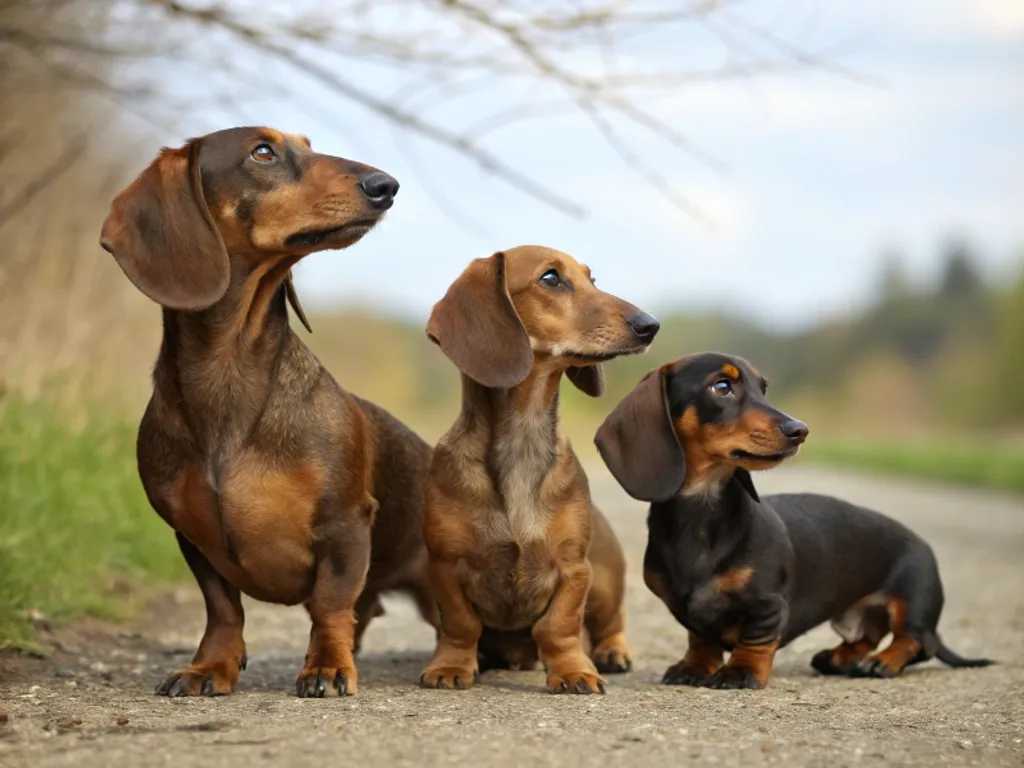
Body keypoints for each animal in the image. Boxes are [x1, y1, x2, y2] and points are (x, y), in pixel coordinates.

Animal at [417, 247, 663, 696]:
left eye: (592, 278)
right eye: (551, 278)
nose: (649, 325)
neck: (523, 440)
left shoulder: (574, 568)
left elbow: (559, 626)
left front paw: (573, 670)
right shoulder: (444, 565)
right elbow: (460, 623)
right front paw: (451, 664)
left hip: (606, 582)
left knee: (612, 621)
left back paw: (612, 652)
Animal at [593, 354, 991, 692]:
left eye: (763, 388)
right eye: (722, 386)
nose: (800, 429)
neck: (701, 512)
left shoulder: (767, 605)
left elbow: (755, 640)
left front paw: (740, 671)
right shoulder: (688, 610)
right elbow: (701, 638)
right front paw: (694, 666)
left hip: (913, 594)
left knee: (917, 640)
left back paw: (884, 662)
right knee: (868, 635)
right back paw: (839, 657)